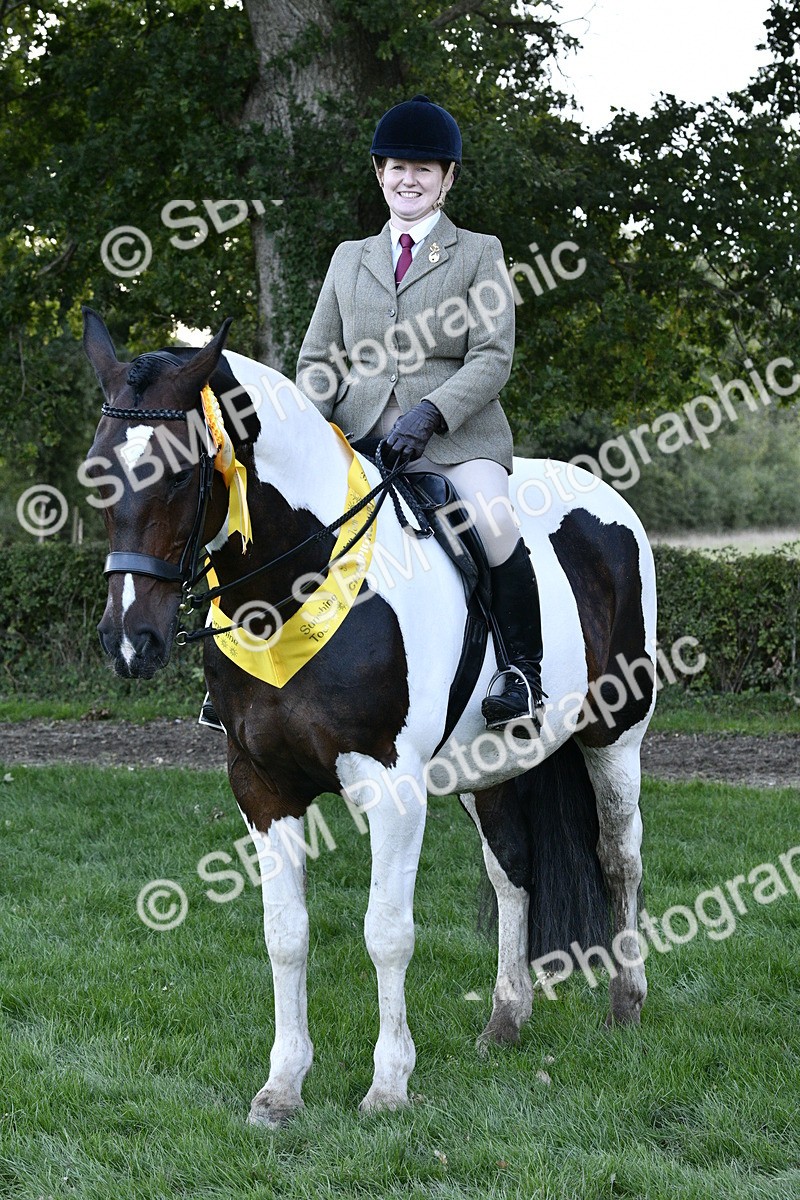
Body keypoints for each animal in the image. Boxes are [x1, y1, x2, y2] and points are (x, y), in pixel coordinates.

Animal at [81, 307, 657, 1127]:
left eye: (183, 473)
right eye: (97, 473)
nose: (130, 641)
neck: (299, 582)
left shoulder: (392, 789)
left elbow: (386, 933)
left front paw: (388, 1086)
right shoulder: (261, 787)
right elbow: (285, 936)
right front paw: (282, 1087)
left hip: (616, 735)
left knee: (619, 858)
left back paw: (626, 1004)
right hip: (491, 764)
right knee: (513, 872)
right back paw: (505, 1021)